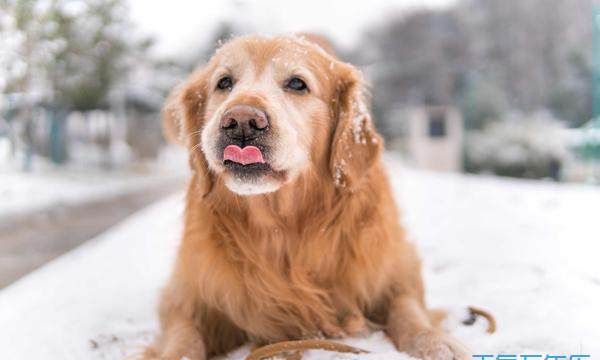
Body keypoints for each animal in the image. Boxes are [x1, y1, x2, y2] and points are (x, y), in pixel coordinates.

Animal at [145, 34, 474, 360]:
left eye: (297, 83)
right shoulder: (184, 295)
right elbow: (184, 337)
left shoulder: (396, 271)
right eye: (224, 82)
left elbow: (408, 309)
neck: (282, 229)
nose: (241, 120)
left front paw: (437, 342)